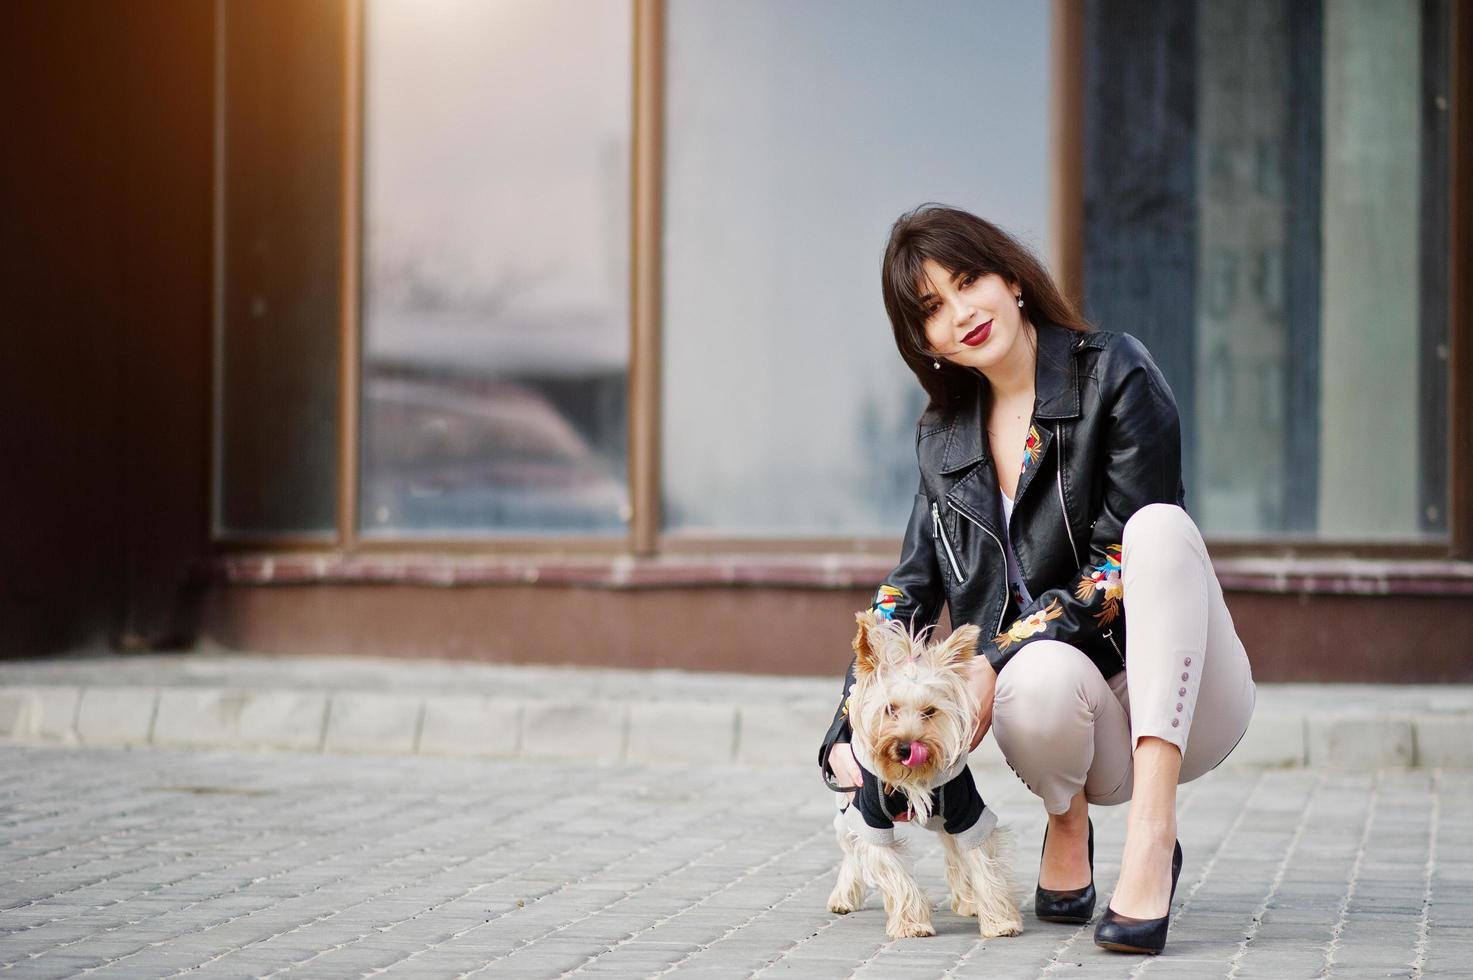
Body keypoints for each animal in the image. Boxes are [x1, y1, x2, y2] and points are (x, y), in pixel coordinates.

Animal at [830, 607, 1025, 937]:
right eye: (890, 709)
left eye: (930, 711)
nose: (906, 747)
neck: (912, 777)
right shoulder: (869, 817)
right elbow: (892, 870)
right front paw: (912, 922)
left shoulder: (966, 811)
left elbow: (981, 861)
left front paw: (999, 920)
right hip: (848, 805)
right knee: (852, 849)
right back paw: (844, 897)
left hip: (942, 819)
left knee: (953, 849)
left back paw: (968, 901)